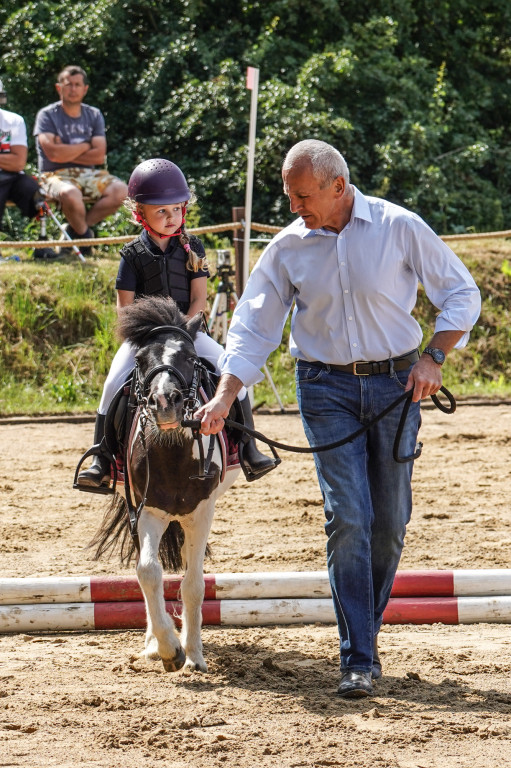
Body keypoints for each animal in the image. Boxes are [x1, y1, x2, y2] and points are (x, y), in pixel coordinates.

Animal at [89, 294, 241, 672]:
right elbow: (147, 572)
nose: (164, 403)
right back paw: (152, 644)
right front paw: (169, 649)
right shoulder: (147, 510)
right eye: (141, 360)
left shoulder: (201, 513)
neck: (172, 452)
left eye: (189, 357)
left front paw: (194, 655)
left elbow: (194, 584)